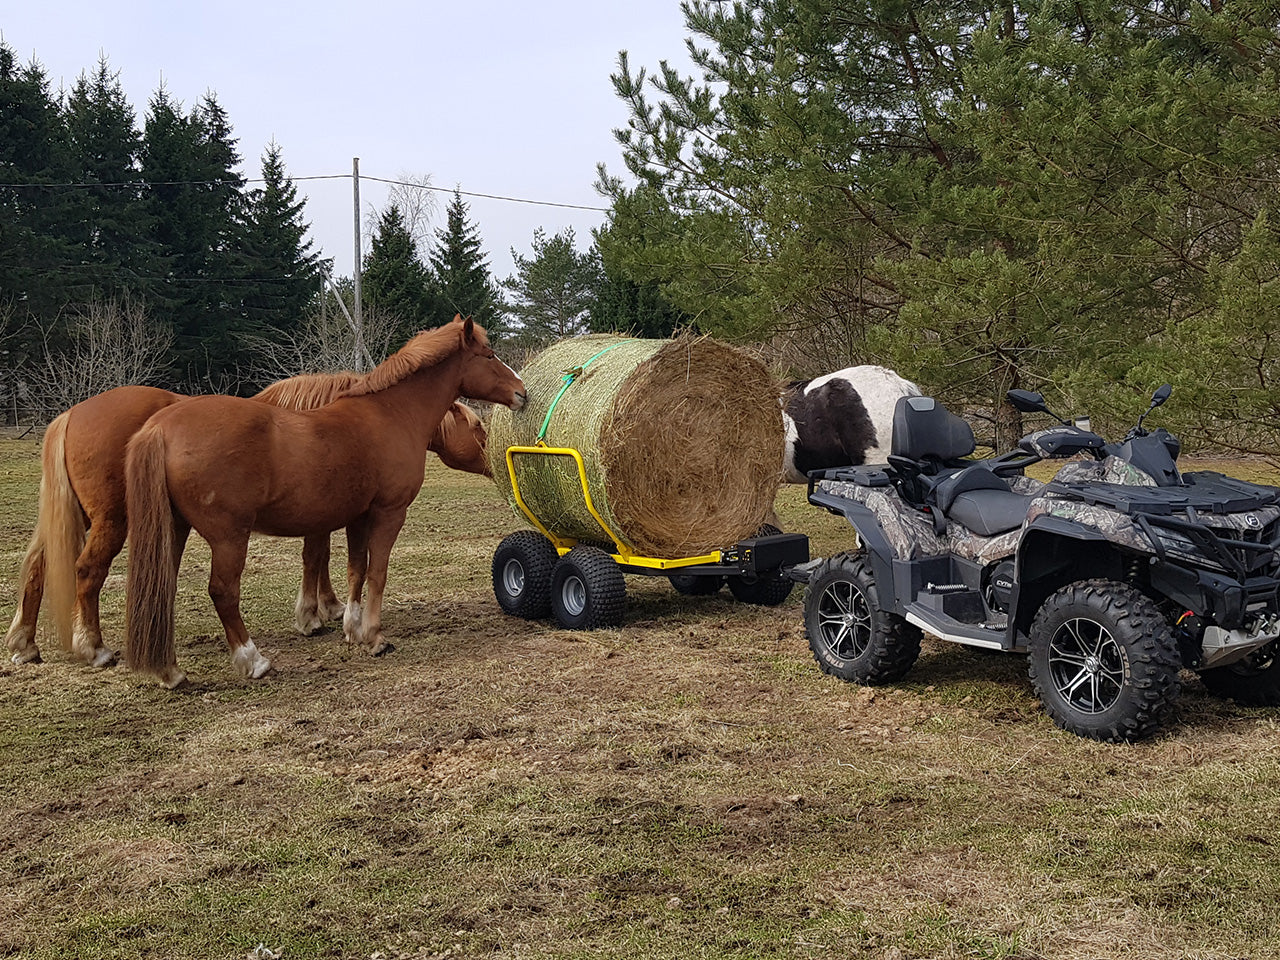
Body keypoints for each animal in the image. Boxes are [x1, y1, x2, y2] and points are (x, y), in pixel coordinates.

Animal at [5, 350, 491, 670]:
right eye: (477, 427)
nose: (494, 460)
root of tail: (71, 414)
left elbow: (323, 557)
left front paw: (326, 609)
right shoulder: (323, 511)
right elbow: (317, 556)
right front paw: (315, 614)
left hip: (85, 517)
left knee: (39, 566)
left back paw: (25, 643)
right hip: (114, 520)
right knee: (87, 572)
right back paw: (96, 647)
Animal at [124, 320, 524, 686]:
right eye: (489, 355)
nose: (522, 393)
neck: (390, 413)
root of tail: (160, 426)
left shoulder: (356, 516)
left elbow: (355, 570)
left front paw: (352, 628)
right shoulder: (389, 513)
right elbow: (377, 571)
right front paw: (374, 637)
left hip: (173, 530)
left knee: (161, 590)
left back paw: (170, 671)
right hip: (229, 538)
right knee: (223, 592)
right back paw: (253, 661)